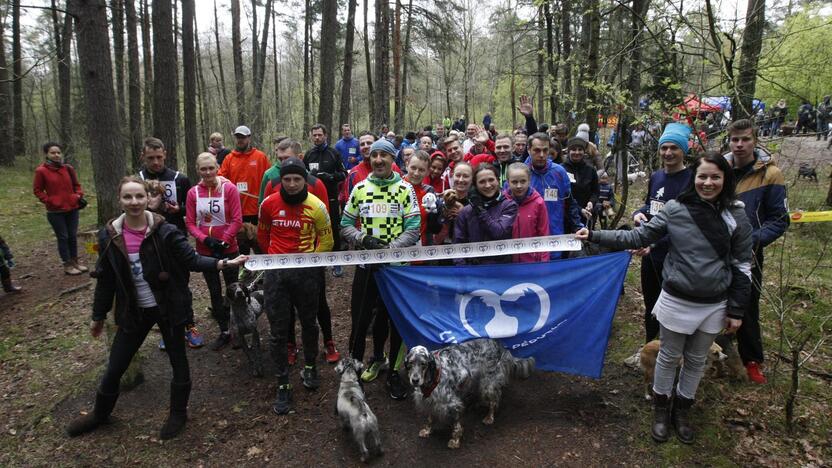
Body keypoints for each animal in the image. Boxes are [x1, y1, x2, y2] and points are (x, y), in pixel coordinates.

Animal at [406, 338, 536, 448]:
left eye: (423, 364)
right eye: (410, 363)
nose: (415, 380)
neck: (433, 377)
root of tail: (500, 345)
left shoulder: (452, 404)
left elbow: (456, 425)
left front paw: (455, 440)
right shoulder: (430, 401)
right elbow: (430, 418)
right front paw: (427, 430)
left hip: (488, 384)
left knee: (494, 401)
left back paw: (489, 417)